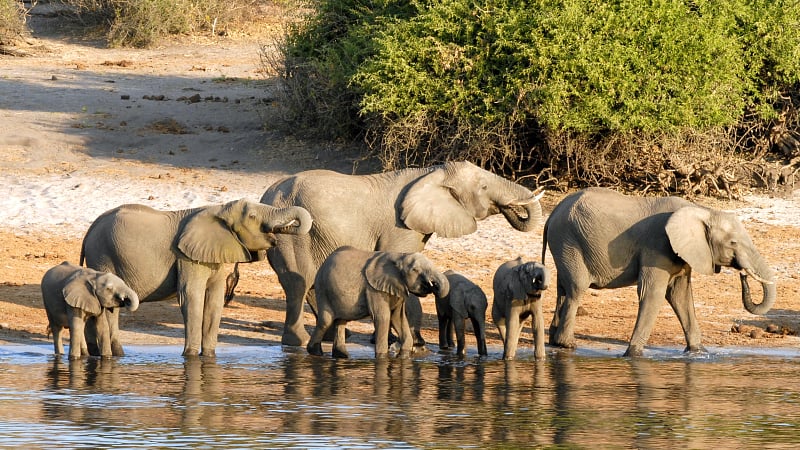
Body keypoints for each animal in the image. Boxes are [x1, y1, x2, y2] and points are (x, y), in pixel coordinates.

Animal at [80, 199, 312, 357]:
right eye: (253, 217)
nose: (282, 230)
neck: (219, 209)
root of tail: (89, 230)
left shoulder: (213, 255)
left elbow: (215, 301)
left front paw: (208, 357)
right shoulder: (187, 257)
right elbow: (191, 297)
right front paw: (190, 357)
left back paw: (109, 354)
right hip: (102, 255)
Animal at [260, 160, 544, 346]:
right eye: (484, 187)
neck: (431, 173)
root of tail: (266, 195)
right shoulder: (399, 227)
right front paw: (405, 342)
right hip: (291, 236)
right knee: (298, 283)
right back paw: (297, 342)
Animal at [307, 246, 450, 359]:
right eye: (415, 270)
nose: (433, 285)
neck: (400, 257)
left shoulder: (397, 288)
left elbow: (398, 318)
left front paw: (403, 356)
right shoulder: (373, 289)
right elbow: (383, 317)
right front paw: (382, 358)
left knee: (340, 321)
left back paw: (342, 356)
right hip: (323, 288)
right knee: (326, 321)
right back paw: (315, 353)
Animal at [543, 187, 777, 357]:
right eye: (733, 243)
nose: (743, 274)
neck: (702, 211)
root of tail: (553, 213)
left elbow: (680, 295)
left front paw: (699, 352)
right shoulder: (657, 245)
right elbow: (653, 293)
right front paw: (633, 355)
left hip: (565, 244)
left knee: (562, 290)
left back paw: (555, 342)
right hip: (569, 241)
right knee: (576, 289)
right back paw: (568, 344)